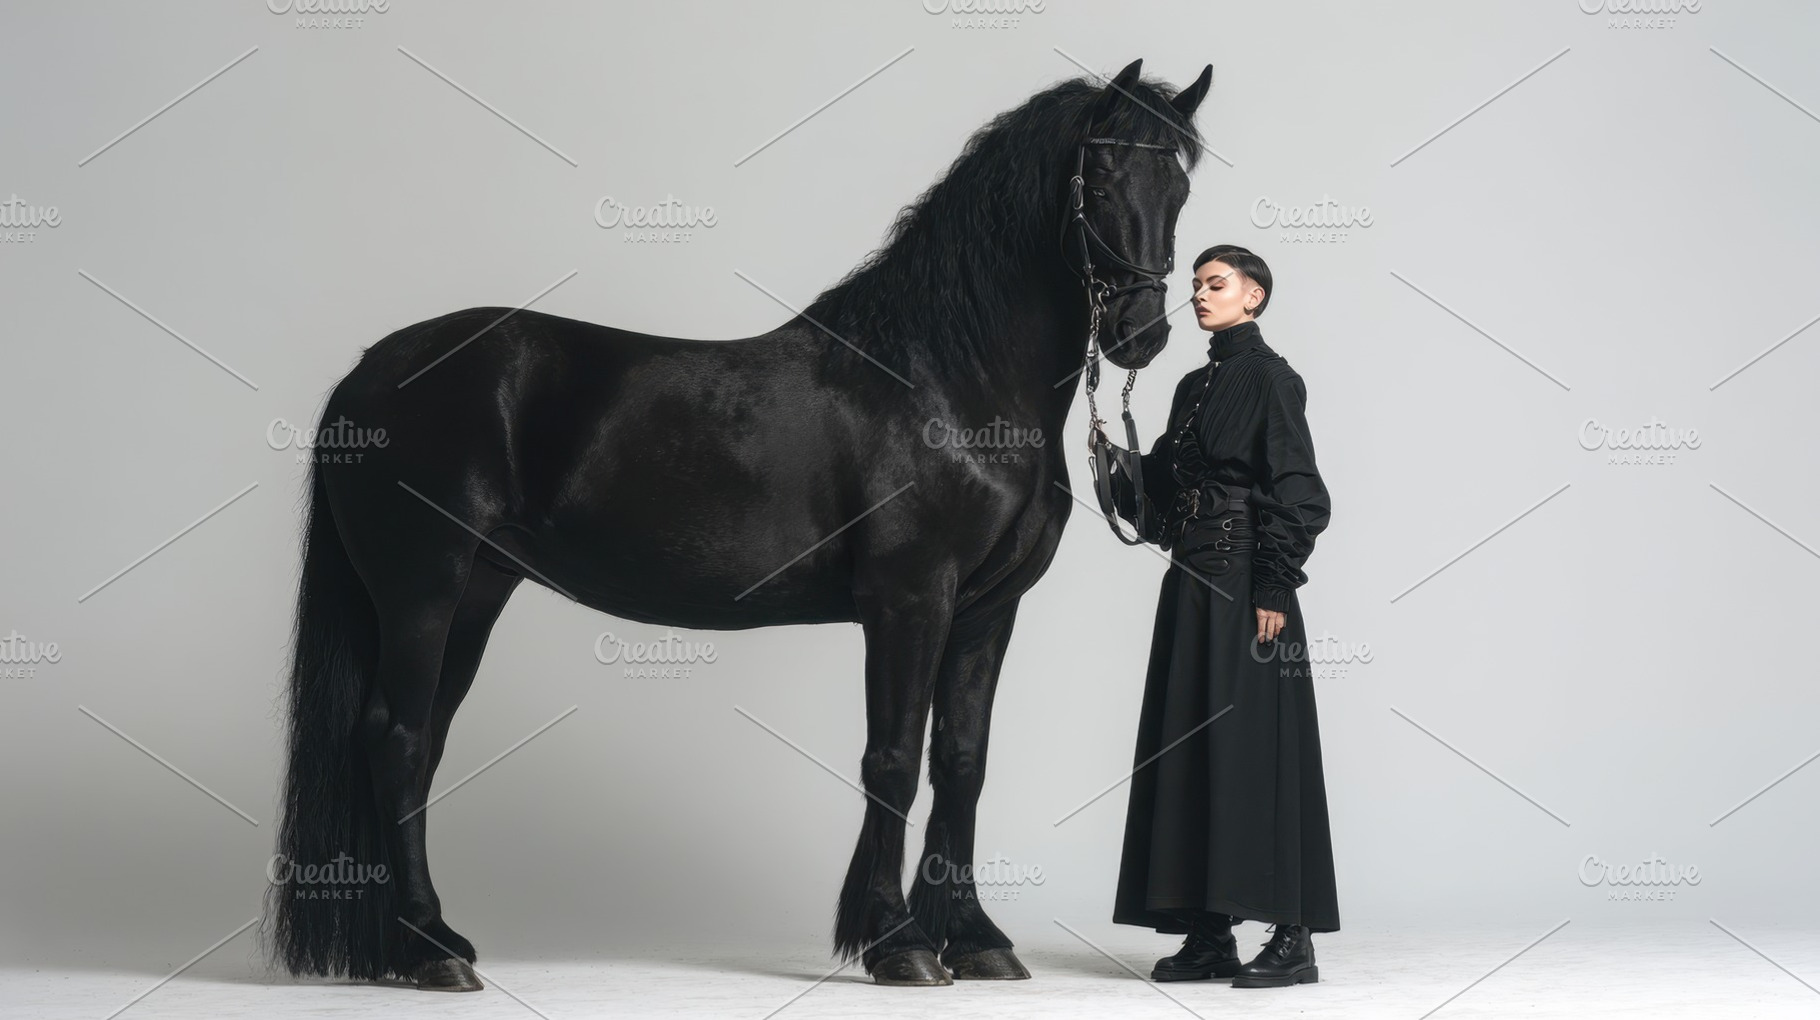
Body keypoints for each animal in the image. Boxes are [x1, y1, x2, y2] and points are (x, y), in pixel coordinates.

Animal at [265, 57, 1213, 991]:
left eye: (1178, 185)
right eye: (1099, 176)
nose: (1140, 335)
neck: (947, 382)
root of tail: (373, 371)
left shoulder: (986, 611)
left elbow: (961, 763)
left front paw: (975, 939)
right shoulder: (909, 600)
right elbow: (893, 760)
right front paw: (898, 941)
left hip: (473, 593)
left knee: (417, 743)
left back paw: (420, 944)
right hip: (422, 588)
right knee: (396, 741)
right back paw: (426, 947)